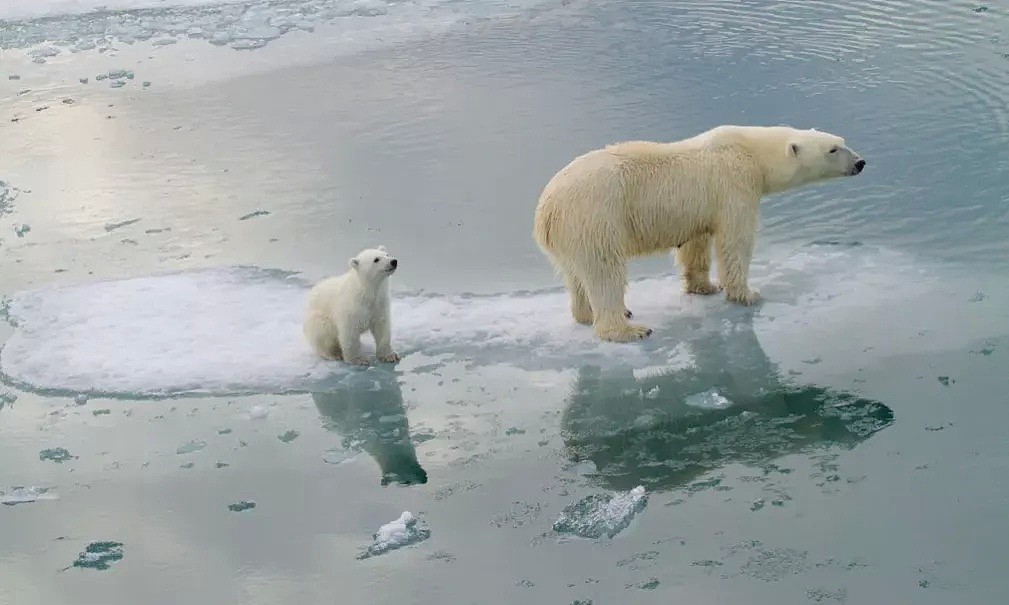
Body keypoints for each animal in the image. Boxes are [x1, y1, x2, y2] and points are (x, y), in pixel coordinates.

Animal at [536, 124, 867, 340]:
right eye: (833, 149)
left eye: (842, 140)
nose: (861, 162)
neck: (751, 151)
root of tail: (546, 211)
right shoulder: (734, 184)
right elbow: (735, 241)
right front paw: (747, 293)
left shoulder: (699, 208)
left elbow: (696, 244)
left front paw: (705, 286)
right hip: (596, 217)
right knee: (604, 271)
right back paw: (628, 328)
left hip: (571, 234)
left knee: (576, 276)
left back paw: (588, 314)